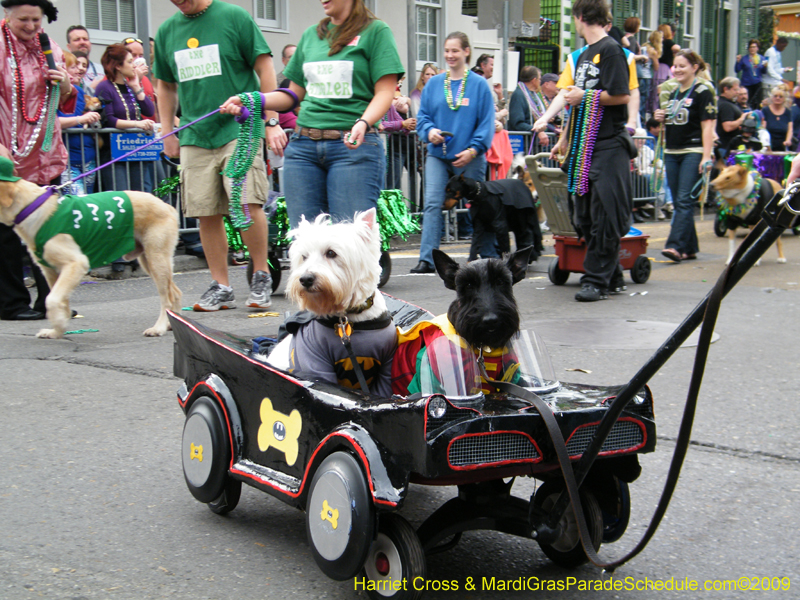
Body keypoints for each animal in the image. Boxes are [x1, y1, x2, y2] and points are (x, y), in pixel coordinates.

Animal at [0, 176, 183, 340]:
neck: (31, 208)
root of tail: (167, 206)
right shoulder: (50, 270)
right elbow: (57, 298)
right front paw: (57, 330)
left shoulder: (76, 264)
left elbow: (52, 299)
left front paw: (59, 323)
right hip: (148, 261)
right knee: (175, 292)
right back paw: (172, 324)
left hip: (156, 258)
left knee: (167, 297)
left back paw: (159, 327)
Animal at [268, 209, 396, 396]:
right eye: (304, 257)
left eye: (331, 253)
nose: (305, 279)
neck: (348, 317)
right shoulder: (314, 363)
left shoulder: (386, 367)